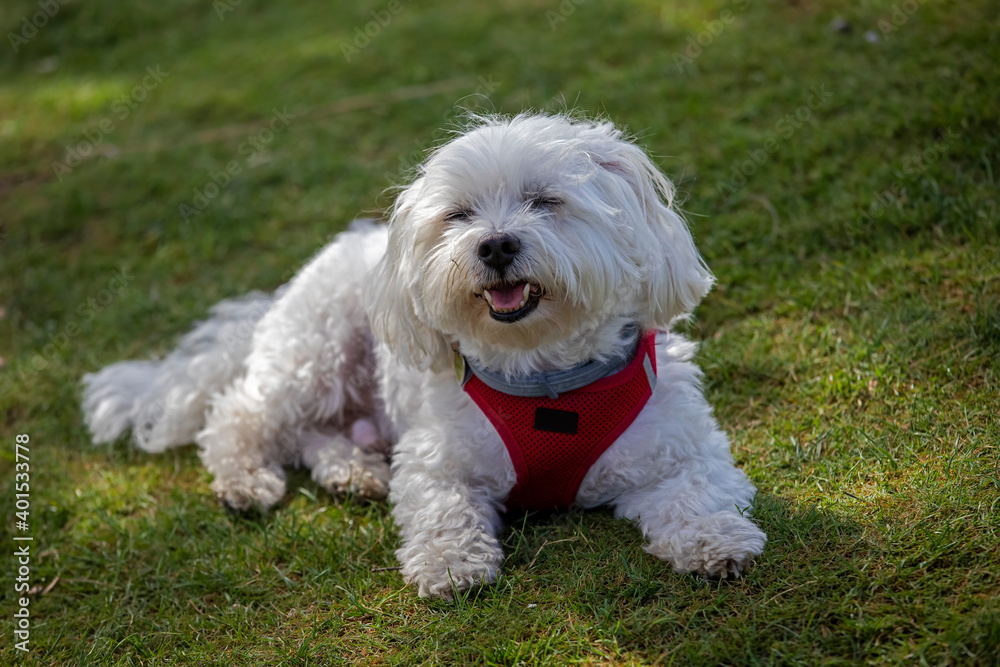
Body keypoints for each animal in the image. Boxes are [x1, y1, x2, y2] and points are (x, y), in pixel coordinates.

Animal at [84, 113, 764, 600]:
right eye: (458, 216)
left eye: (546, 201)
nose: (494, 244)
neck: (547, 379)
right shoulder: (437, 458)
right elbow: (441, 507)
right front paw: (450, 562)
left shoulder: (680, 445)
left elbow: (699, 489)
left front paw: (714, 539)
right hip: (316, 352)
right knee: (240, 418)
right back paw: (246, 481)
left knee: (312, 435)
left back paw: (352, 471)